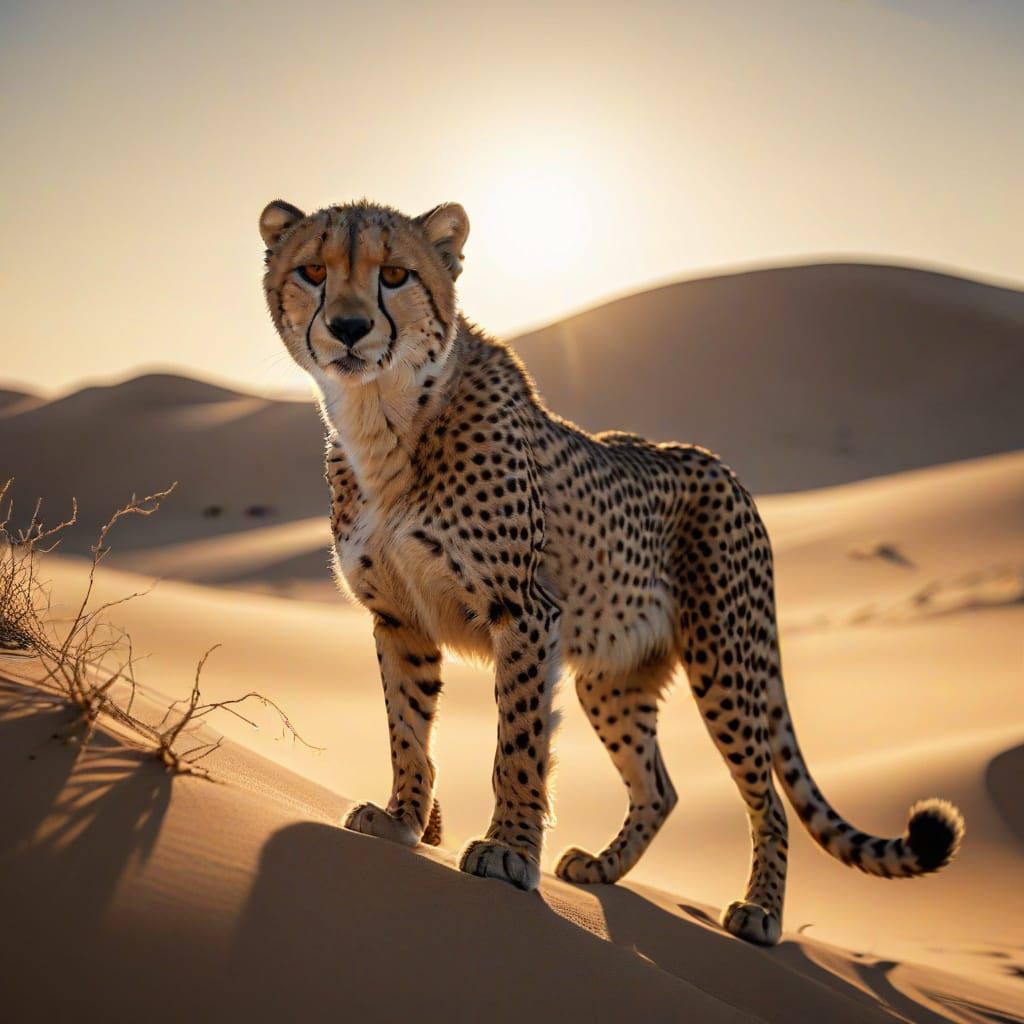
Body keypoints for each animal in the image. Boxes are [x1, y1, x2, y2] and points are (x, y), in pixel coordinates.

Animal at [258, 197, 964, 946]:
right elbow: (407, 730)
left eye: (394, 274)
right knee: (660, 786)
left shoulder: (524, 613)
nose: (349, 327)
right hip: (612, 675)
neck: (382, 418)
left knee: (768, 800)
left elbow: (518, 742)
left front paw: (508, 851)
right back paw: (603, 868)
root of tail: (726, 469)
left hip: (725, 664)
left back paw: (762, 913)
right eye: (312, 271)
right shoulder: (400, 619)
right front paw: (400, 823)